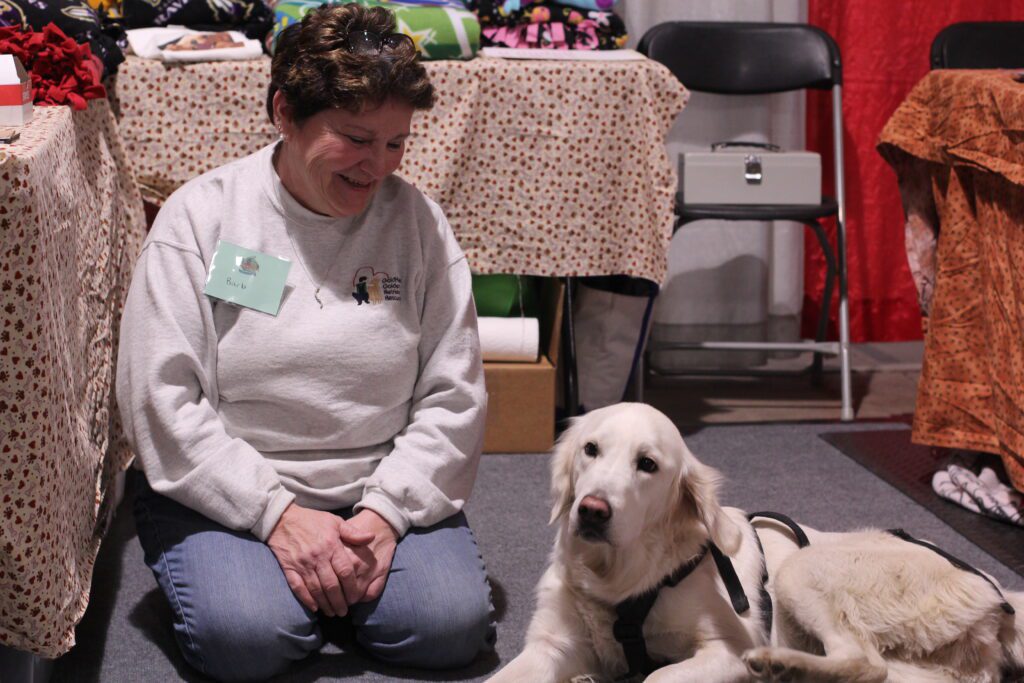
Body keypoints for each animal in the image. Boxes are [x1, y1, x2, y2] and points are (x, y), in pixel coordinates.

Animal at [485, 403, 1024, 679]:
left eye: (648, 464)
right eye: (590, 449)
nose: (592, 510)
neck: (617, 581)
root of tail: (994, 589)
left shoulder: (724, 648)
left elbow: (657, 675)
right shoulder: (551, 645)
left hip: (802, 569)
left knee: (864, 662)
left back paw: (781, 665)